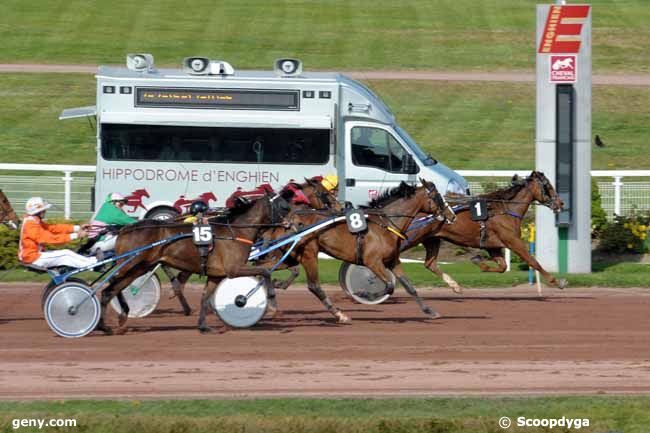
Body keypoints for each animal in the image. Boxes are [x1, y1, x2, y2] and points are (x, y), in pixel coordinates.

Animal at [96, 189, 288, 334]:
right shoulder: (234, 269)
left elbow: (205, 298)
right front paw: (268, 304)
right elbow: (265, 272)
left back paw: (120, 317)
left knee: (114, 288)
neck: (235, 231)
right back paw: (105, 326)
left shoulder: (216, 275)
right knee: (109, 289)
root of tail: (125, 229)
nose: (289, 224)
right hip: (131, 264)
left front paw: (203, 326)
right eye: (283, 206)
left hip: (139, 267)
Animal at [260, 179, 456, 320]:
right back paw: (339, 314)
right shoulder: (373, 262)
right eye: (438, 197)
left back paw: (272, 301)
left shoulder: (392, 261)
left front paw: (429, 311)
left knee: (266, 269)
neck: (385, 225)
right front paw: (364, 293)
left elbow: (409, 287)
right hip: (308, 253)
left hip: (290, 255)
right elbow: (389, 286)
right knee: (314, 285)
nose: (452, 215)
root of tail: (287, 219)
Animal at [402, 170, 564, 292]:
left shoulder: (493, 246)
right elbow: (533, 261)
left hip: (432, 239)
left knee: (430, 264)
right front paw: (557, 282)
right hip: (412, 236)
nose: (560, 203)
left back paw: (454, 286)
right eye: (548, 186)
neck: (504, 210)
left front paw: (478, 261)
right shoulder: (513, 241)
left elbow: (503, 267)